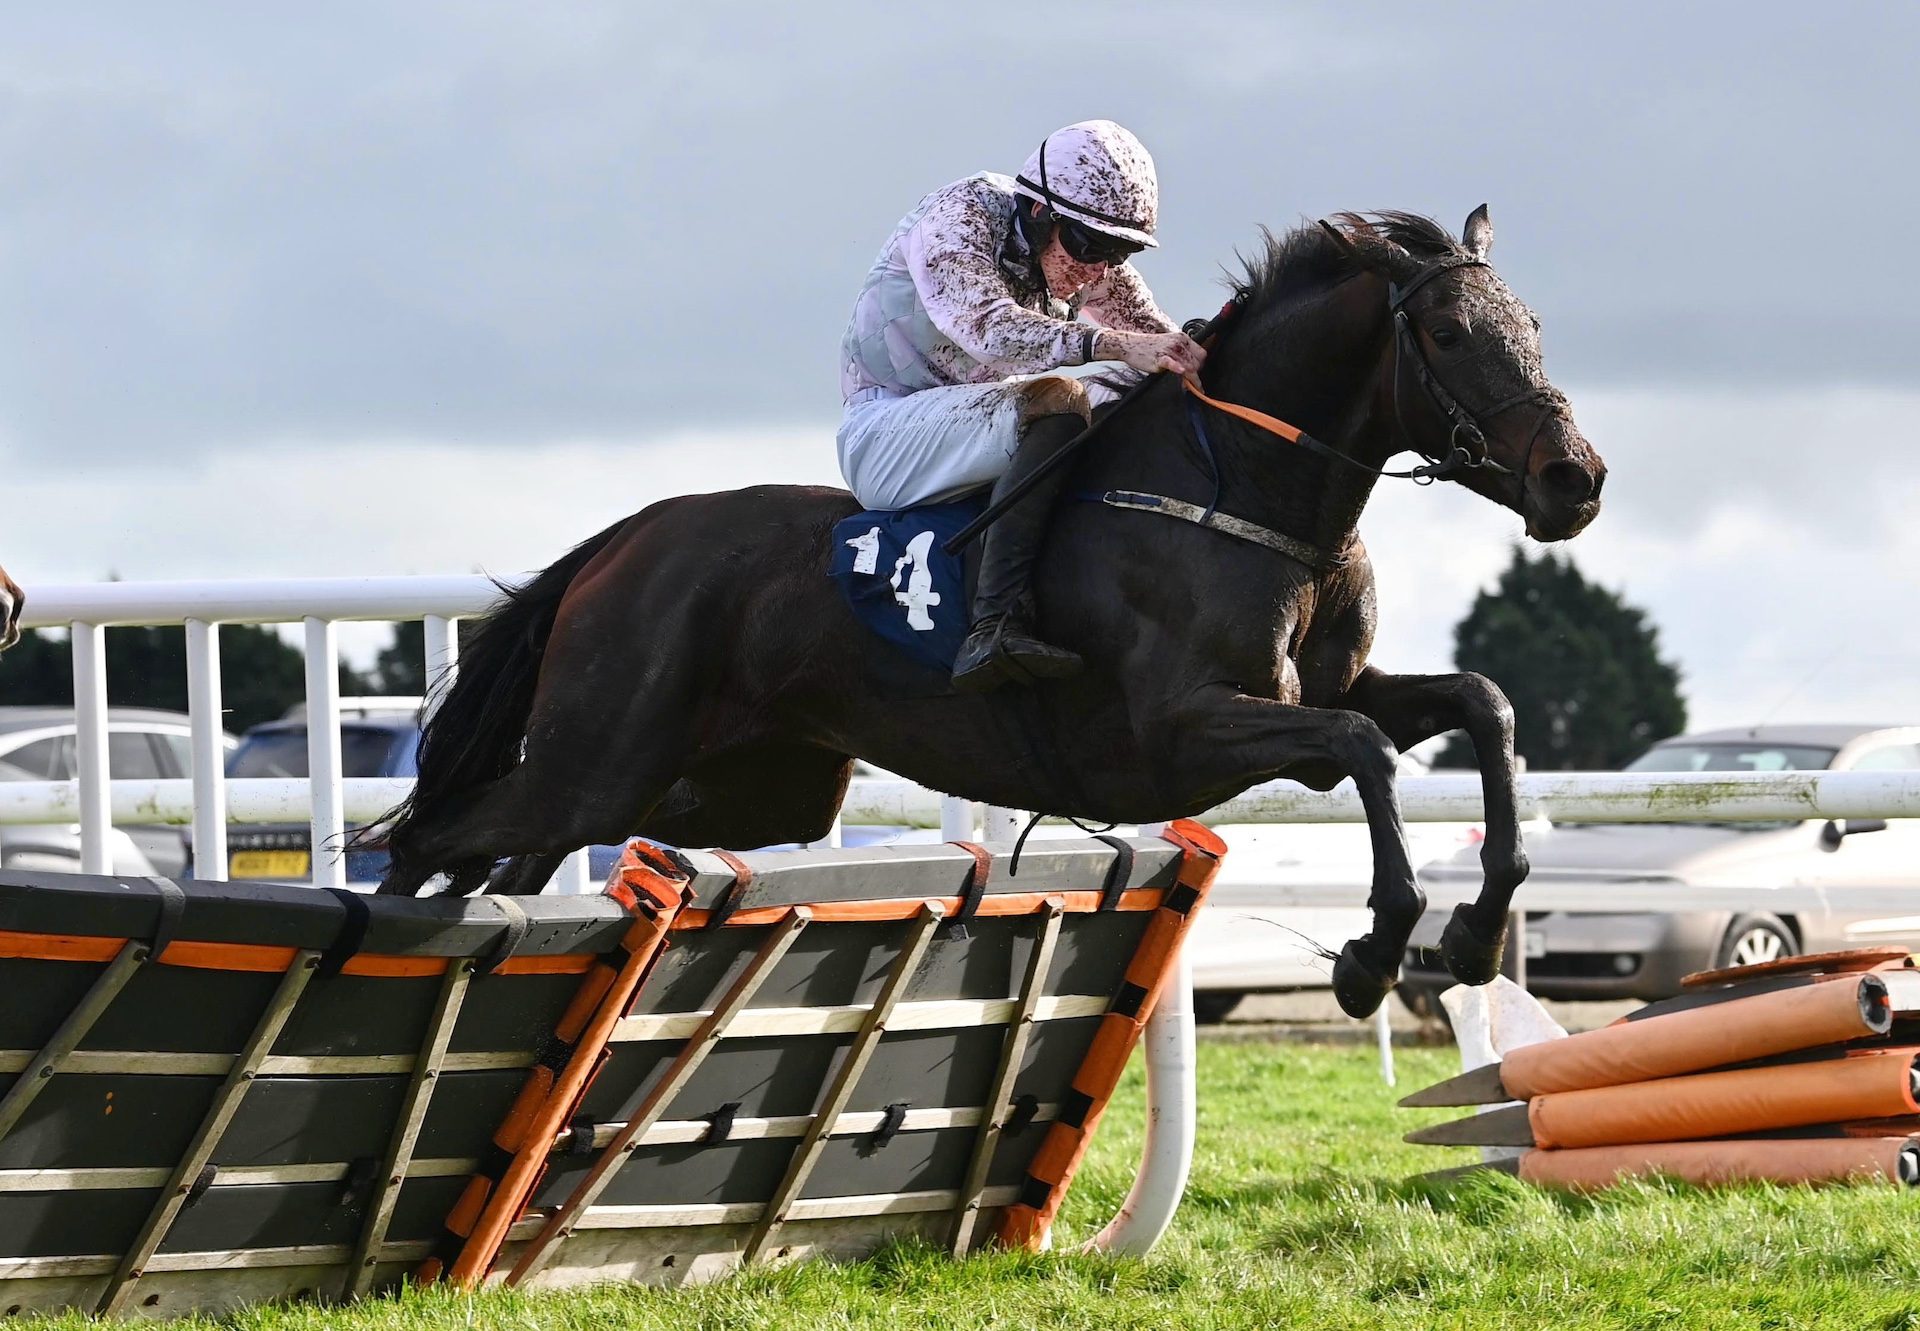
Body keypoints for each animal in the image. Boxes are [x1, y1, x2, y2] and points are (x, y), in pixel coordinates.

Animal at [370, 207, 1605, 1014]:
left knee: (511, 858)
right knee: (433, 833)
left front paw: (1477, 931)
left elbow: (1479, 704)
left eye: (1538, 325)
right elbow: (1360, 746)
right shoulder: (1178, 729)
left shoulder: (1328, 689)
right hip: (600, 757)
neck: (1241, 487)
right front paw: (1374, 948)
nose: (1574, 478)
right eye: (1448, 334)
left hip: (734, 783)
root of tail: (625, 538)